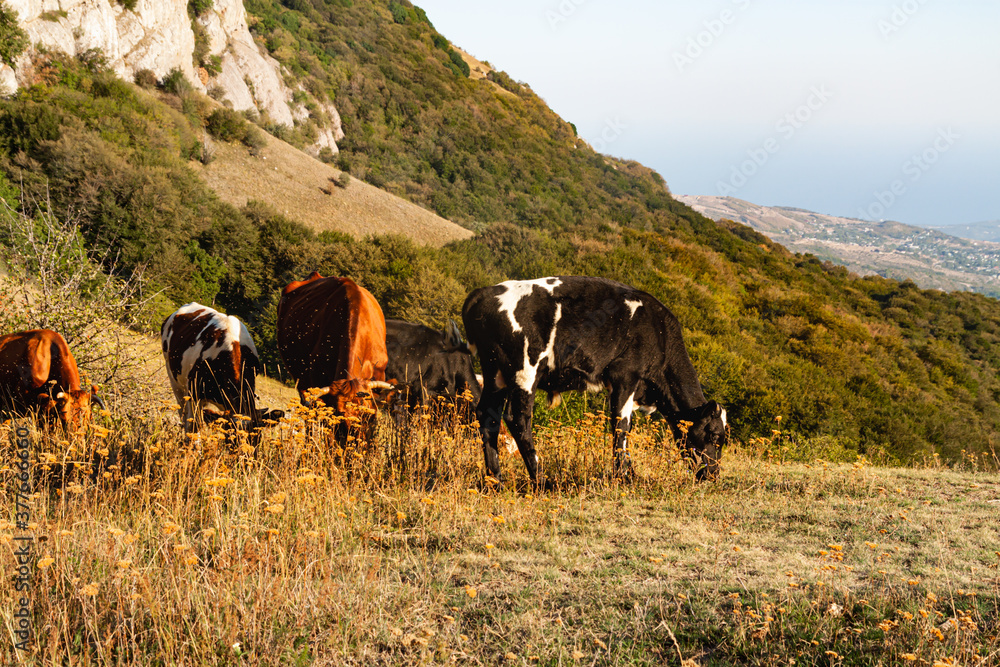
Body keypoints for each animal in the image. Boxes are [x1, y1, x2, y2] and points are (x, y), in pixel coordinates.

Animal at [162, 302, 284, 438]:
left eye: (258, 438)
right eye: (230, 439)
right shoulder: (194, 394)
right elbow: (193, 426)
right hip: (174, 379)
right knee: (182, 412)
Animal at [460, 276, 728, 486]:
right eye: (715, 436)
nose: (713, 475)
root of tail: (483, 293)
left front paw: (629, 474)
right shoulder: (625, 376)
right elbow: (621, 426)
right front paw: (624, 476)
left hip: (495, 372)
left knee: (488, 417)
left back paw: (496, 480)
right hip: (525, 368)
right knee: (518, 419)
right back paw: (543, 480)